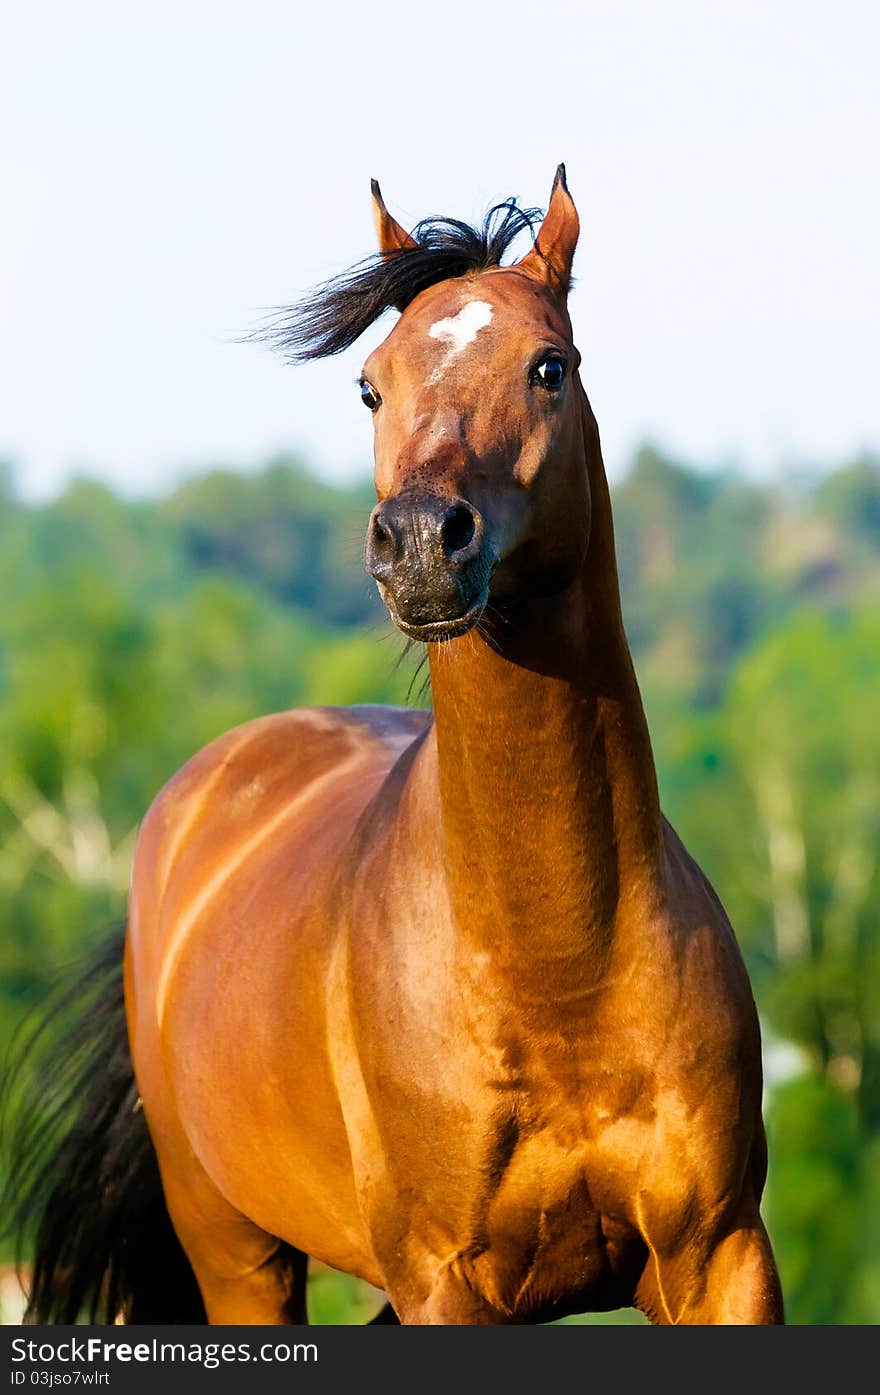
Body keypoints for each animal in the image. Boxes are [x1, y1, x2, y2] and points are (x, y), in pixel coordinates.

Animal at [0, 168, 786, 1322]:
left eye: (549, 367)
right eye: (370, 385)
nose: (420, 543)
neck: (558, 966)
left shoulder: (719, 1257)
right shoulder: (445, 1280)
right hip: (236, 1253)